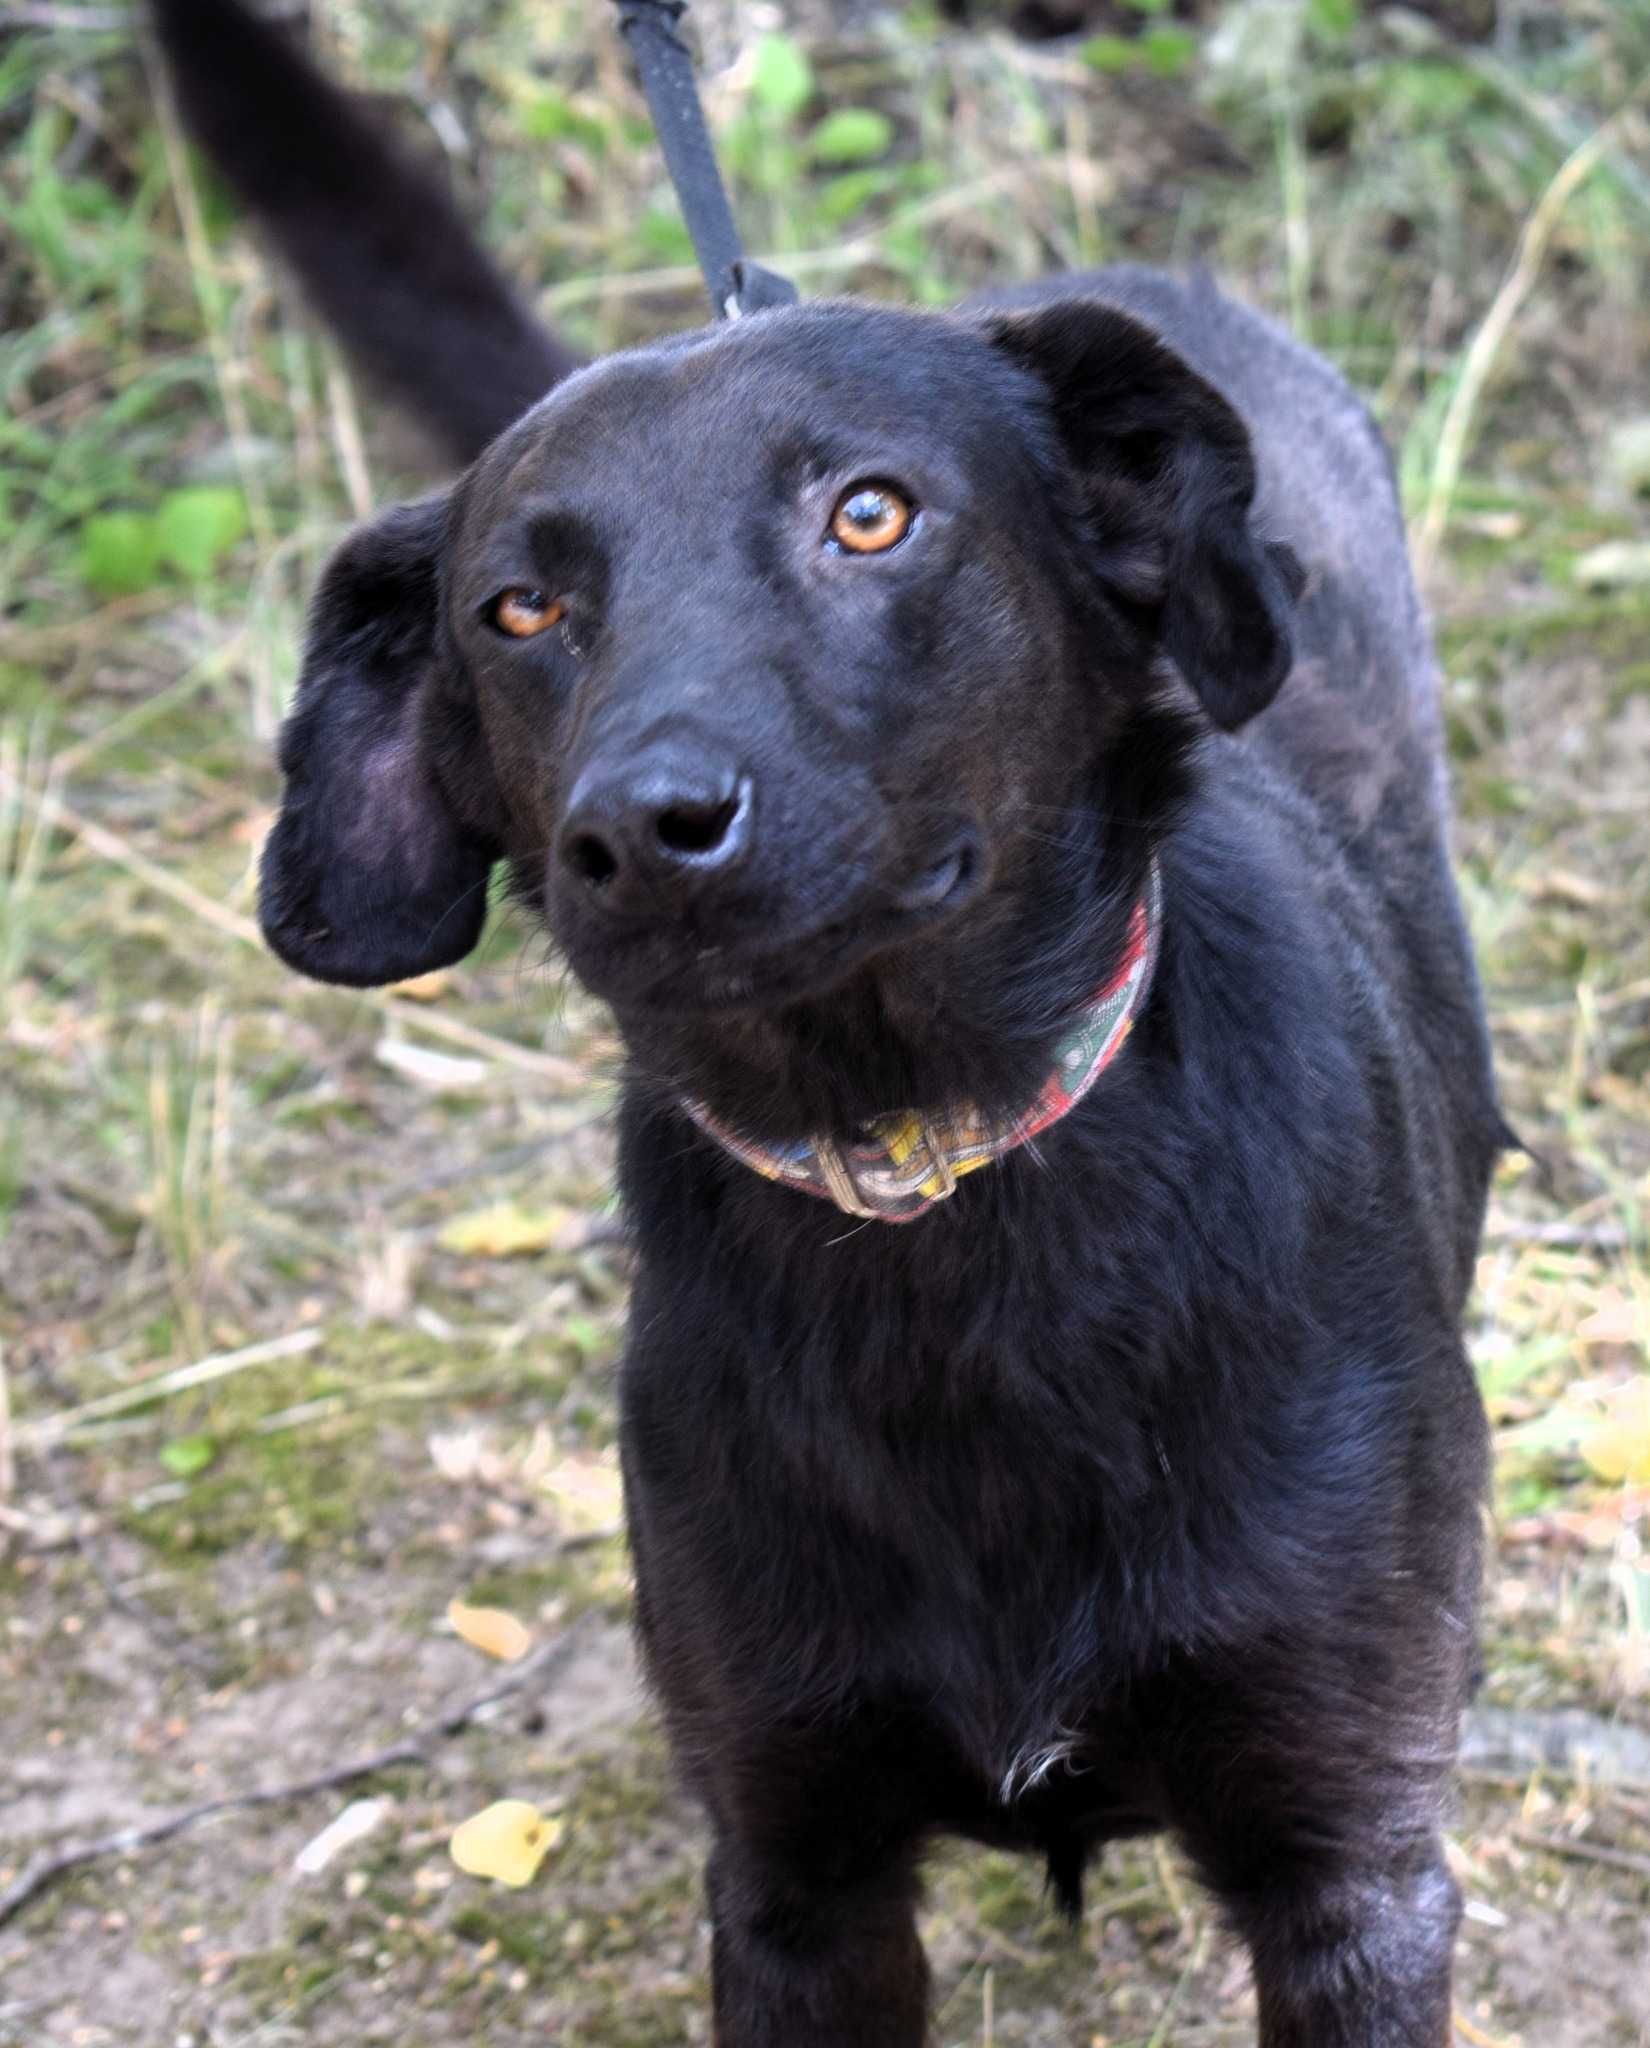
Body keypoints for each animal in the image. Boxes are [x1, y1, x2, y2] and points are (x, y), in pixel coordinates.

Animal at [155, 8, 1514, 2039]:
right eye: (517, 607)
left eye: (867, 513)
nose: (639, 828)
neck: (927, 1189)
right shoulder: (796, 1873)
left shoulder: (1351, 1870)